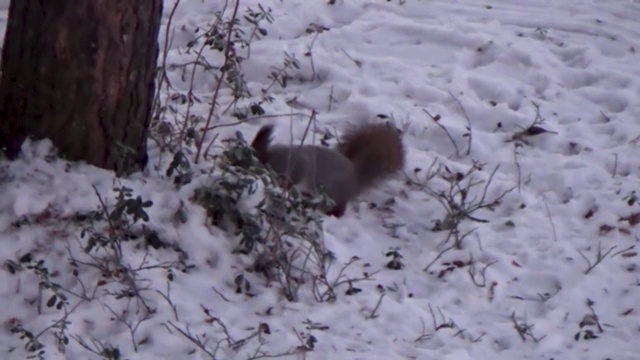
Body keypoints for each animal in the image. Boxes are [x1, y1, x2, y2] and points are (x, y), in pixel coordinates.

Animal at [250, 122, 404, 217]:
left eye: (258, 154)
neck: (273, 157)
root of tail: (354, 182)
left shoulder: (299, 165)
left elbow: (292, 179)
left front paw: (282, 187)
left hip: (332, 192)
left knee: (339, 209)